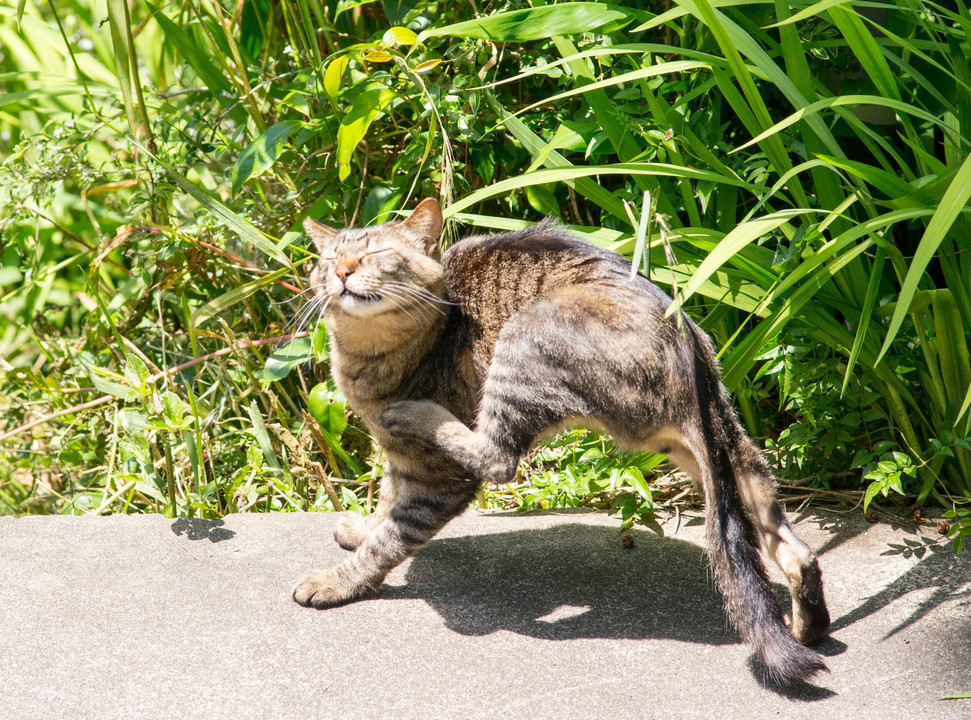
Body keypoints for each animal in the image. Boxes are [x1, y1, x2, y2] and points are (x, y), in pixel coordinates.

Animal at [292, 200, 832, 684]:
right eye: (329, 258)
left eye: (376, 253)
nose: (342, 271)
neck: (367, 361)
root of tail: (683, 341)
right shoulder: (398, 458)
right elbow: (386, 500)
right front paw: (362, 528)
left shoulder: (437, 479)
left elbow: (391, 537)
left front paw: (336, 580)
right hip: (720, 447)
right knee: (793, 545)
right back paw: (806, 627)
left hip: (524, 340)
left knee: (497, 458)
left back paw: (418, 413)